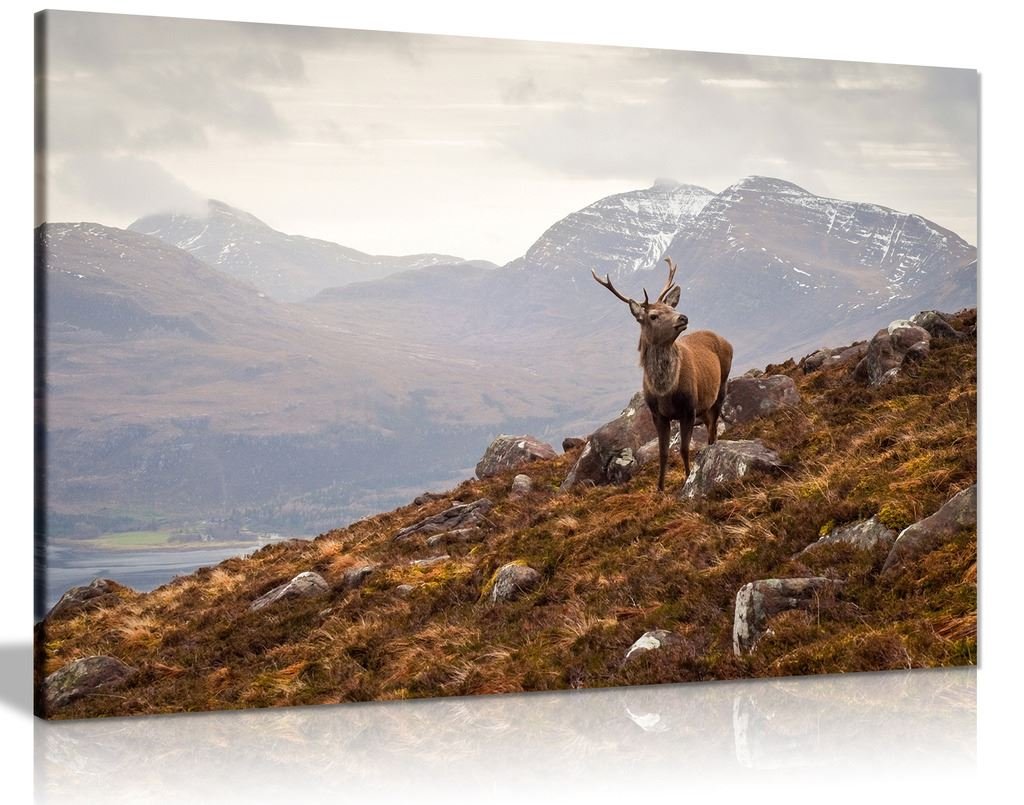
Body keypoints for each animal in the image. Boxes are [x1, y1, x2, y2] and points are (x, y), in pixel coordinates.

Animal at [592, 258, 733, 492]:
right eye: (653, 315)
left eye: (670, 307)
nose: (683, 317)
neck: (665, 390)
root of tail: (725, 340)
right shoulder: (657, 414)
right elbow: (663, 452)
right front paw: (660, 488)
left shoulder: (688, 408)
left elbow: (684, 449)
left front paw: (687, 477)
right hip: (704, 405)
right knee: (710, 426)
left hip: (721, 387)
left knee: (713, 430)